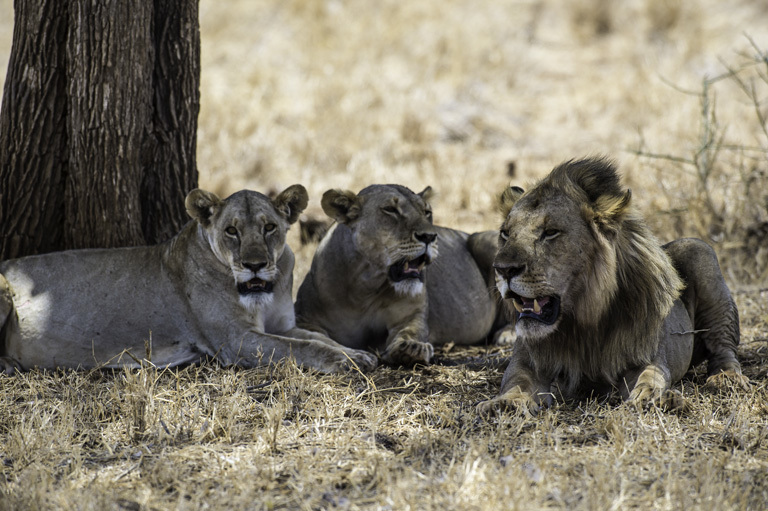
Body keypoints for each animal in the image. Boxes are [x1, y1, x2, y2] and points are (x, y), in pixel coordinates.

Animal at [0, 186, 378, 374]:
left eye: (270, 227)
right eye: (231, 231)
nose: (255, 265)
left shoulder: (281, 325)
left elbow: (319, 338)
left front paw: (358, 354)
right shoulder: (235, 340)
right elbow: (303, 348)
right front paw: (345, 363)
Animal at [292, 186, 504, 366]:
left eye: (427, 212)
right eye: (390, 210)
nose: (429, 236)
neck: (366, 286)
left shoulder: (411, 315)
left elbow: (410, 332)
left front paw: (412, 348)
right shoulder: (306, 319)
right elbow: (320, 340)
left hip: (487, 242)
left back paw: (506, 334)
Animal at [476, 158, 748, 414]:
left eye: (551, 232)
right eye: (505, 233)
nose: (503, 269)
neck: (581, 322)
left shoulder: (645, 355)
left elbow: (651, 376)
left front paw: (653, 398)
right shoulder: (528, 361)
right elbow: (517, 381)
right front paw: (504, 403)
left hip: (699, 251)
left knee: (724, 348)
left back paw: (726, 379)